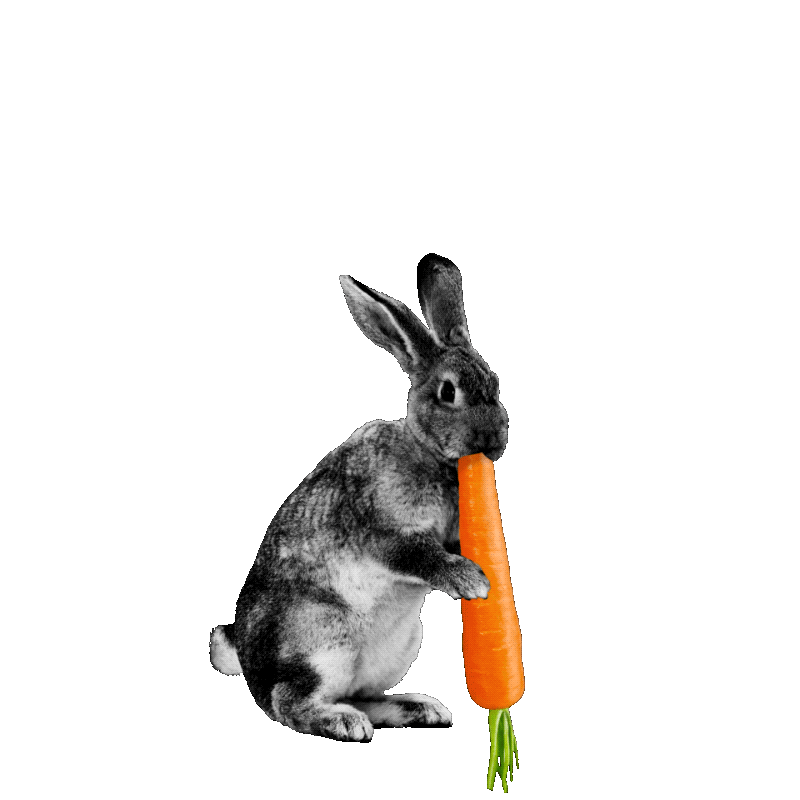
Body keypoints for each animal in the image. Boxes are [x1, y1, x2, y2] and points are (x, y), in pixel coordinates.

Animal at [210, 255, 508, 740]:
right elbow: (419, 555)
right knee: (288, 701)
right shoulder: (381, 530)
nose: (491, 441)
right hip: (319, 641)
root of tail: (251, 667)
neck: (426, 453)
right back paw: (343, 723)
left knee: (364, 695)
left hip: (398, 649)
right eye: (448, 392)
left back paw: (420, 709)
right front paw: (473, 582)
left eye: (495, 383)